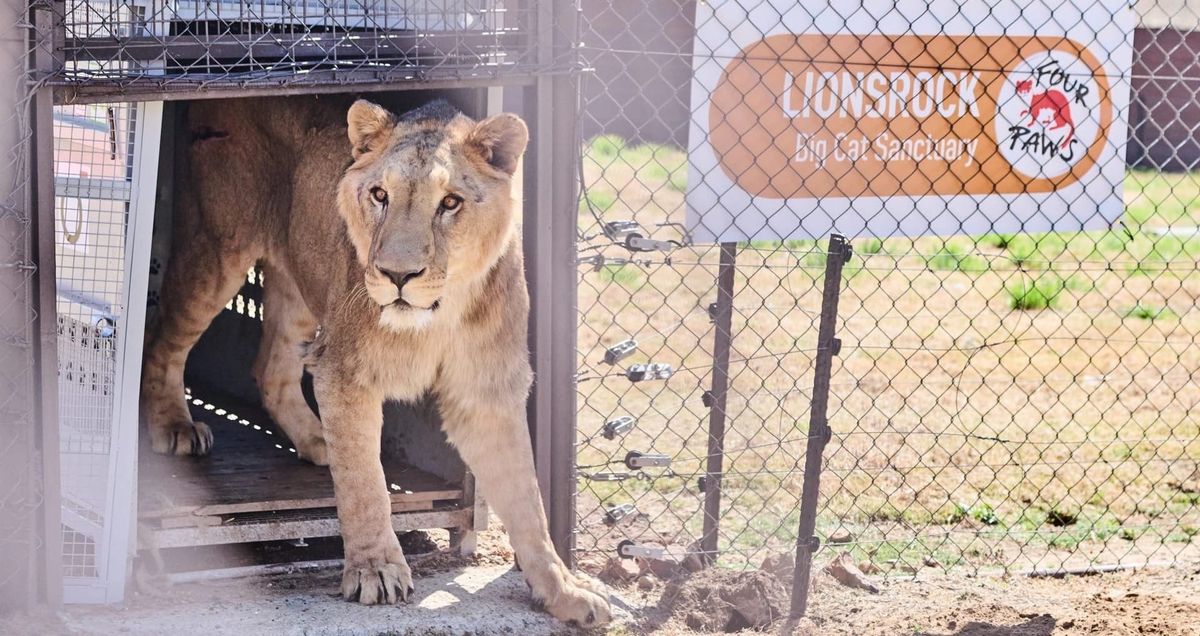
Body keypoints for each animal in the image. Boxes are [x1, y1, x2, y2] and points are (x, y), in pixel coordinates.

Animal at [139, 96, 612, 627]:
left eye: (451, 203)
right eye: (380, 195)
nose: (396, 275)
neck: (439, 315)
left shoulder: (487, 392)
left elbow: (528, 501)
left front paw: (563, 589)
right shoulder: (347, 371)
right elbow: (366, 487)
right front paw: (376, 571)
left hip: (305, 282)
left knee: (271, 369)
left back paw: (318, 438)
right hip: (219, 247)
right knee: (160, 336)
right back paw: (176, 426)